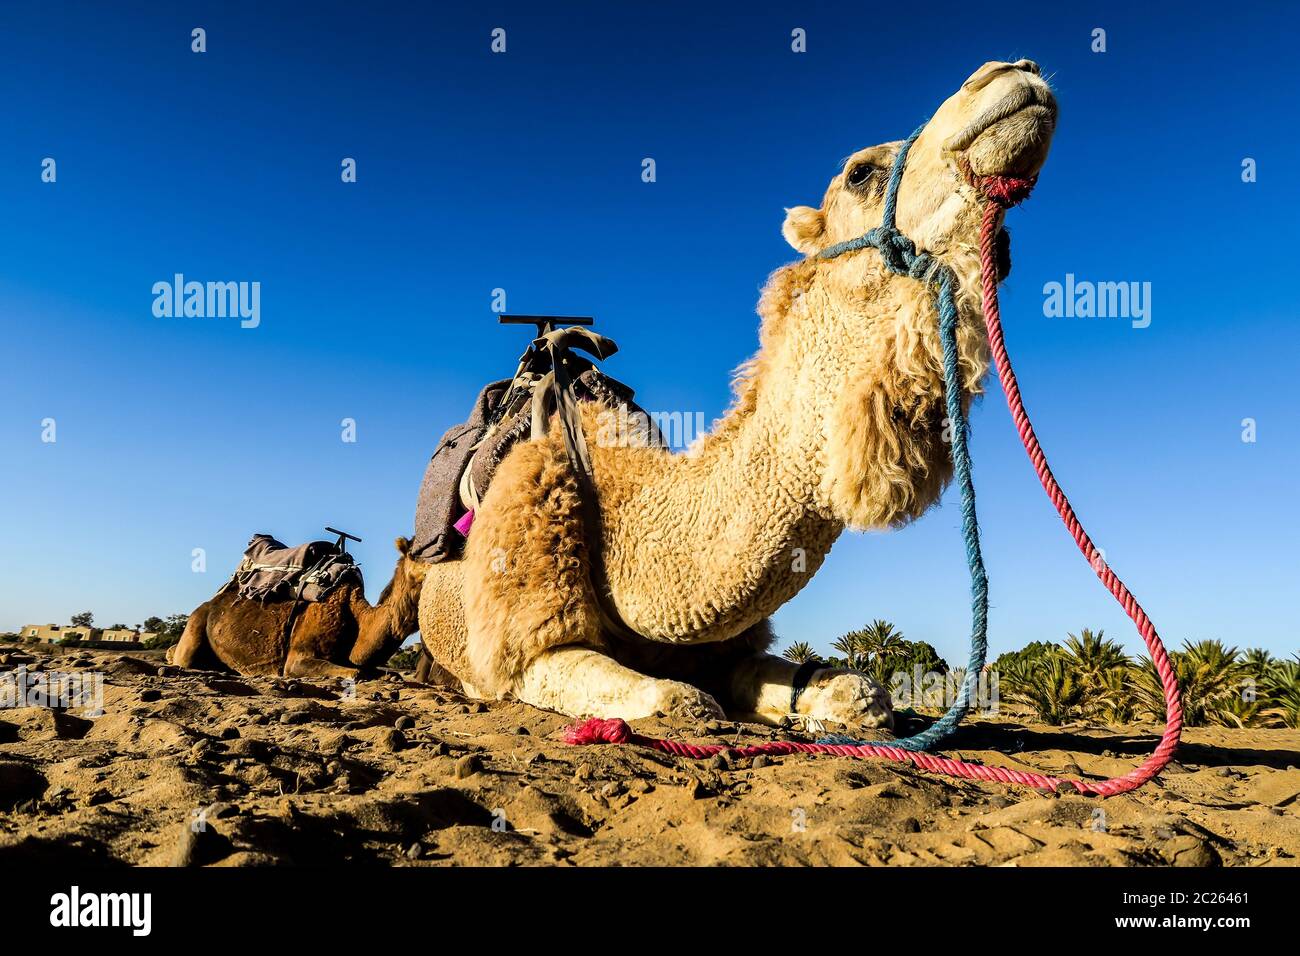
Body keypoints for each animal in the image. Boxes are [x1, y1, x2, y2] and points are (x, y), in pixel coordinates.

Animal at [416, 59, 1055, 728]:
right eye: (860, 172)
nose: (1012, 73)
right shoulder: (524, 638)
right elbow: (679, 698)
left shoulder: (723, 646)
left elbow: (849, 688)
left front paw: (828, 702)